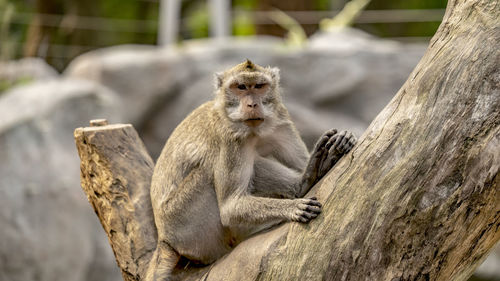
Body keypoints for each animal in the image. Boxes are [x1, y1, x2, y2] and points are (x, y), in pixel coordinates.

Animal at [146, 59, 358, 280]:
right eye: (240, 87)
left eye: (259, 86)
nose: (252, 104)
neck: (255, 131)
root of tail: (164, 238)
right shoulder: (231, 137)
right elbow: (230, 207)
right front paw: (292, 207)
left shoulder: (281, 118)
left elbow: (300, 163)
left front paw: (340, 143)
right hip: (187, 223)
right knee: (211, 168)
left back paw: (310, 175)